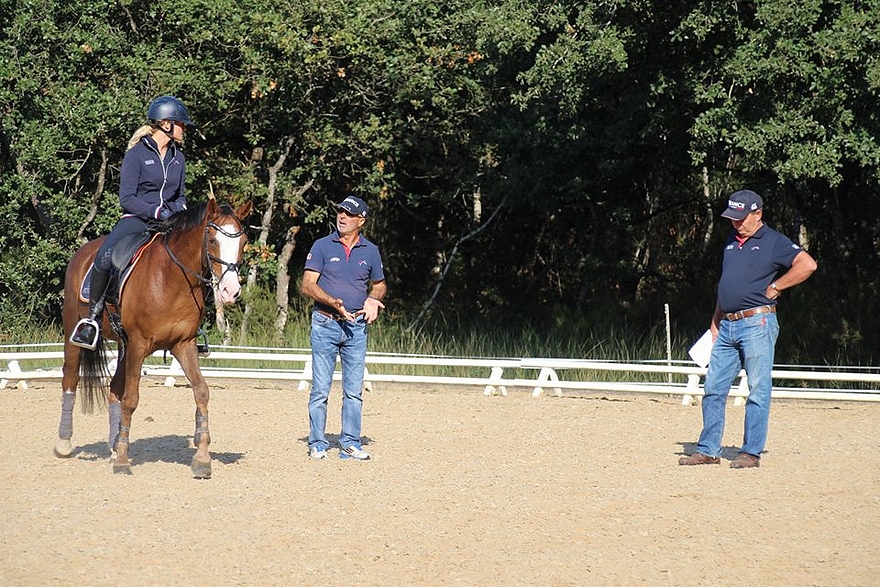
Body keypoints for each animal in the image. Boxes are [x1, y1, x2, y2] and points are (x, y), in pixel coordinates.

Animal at [55, 199, 251, 478]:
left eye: (243, 242)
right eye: (212, 240)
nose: (230, 291)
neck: (172, 278)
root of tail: (83, 252)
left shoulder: (183, 344)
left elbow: (201, 391)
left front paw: (202, 459)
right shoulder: (139, 344)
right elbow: (131, 399)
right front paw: (123, 461)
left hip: (124, 346)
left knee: (114, 389)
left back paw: (113, 445)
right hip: (76, 331)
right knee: (70, 379)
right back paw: (64, 444)